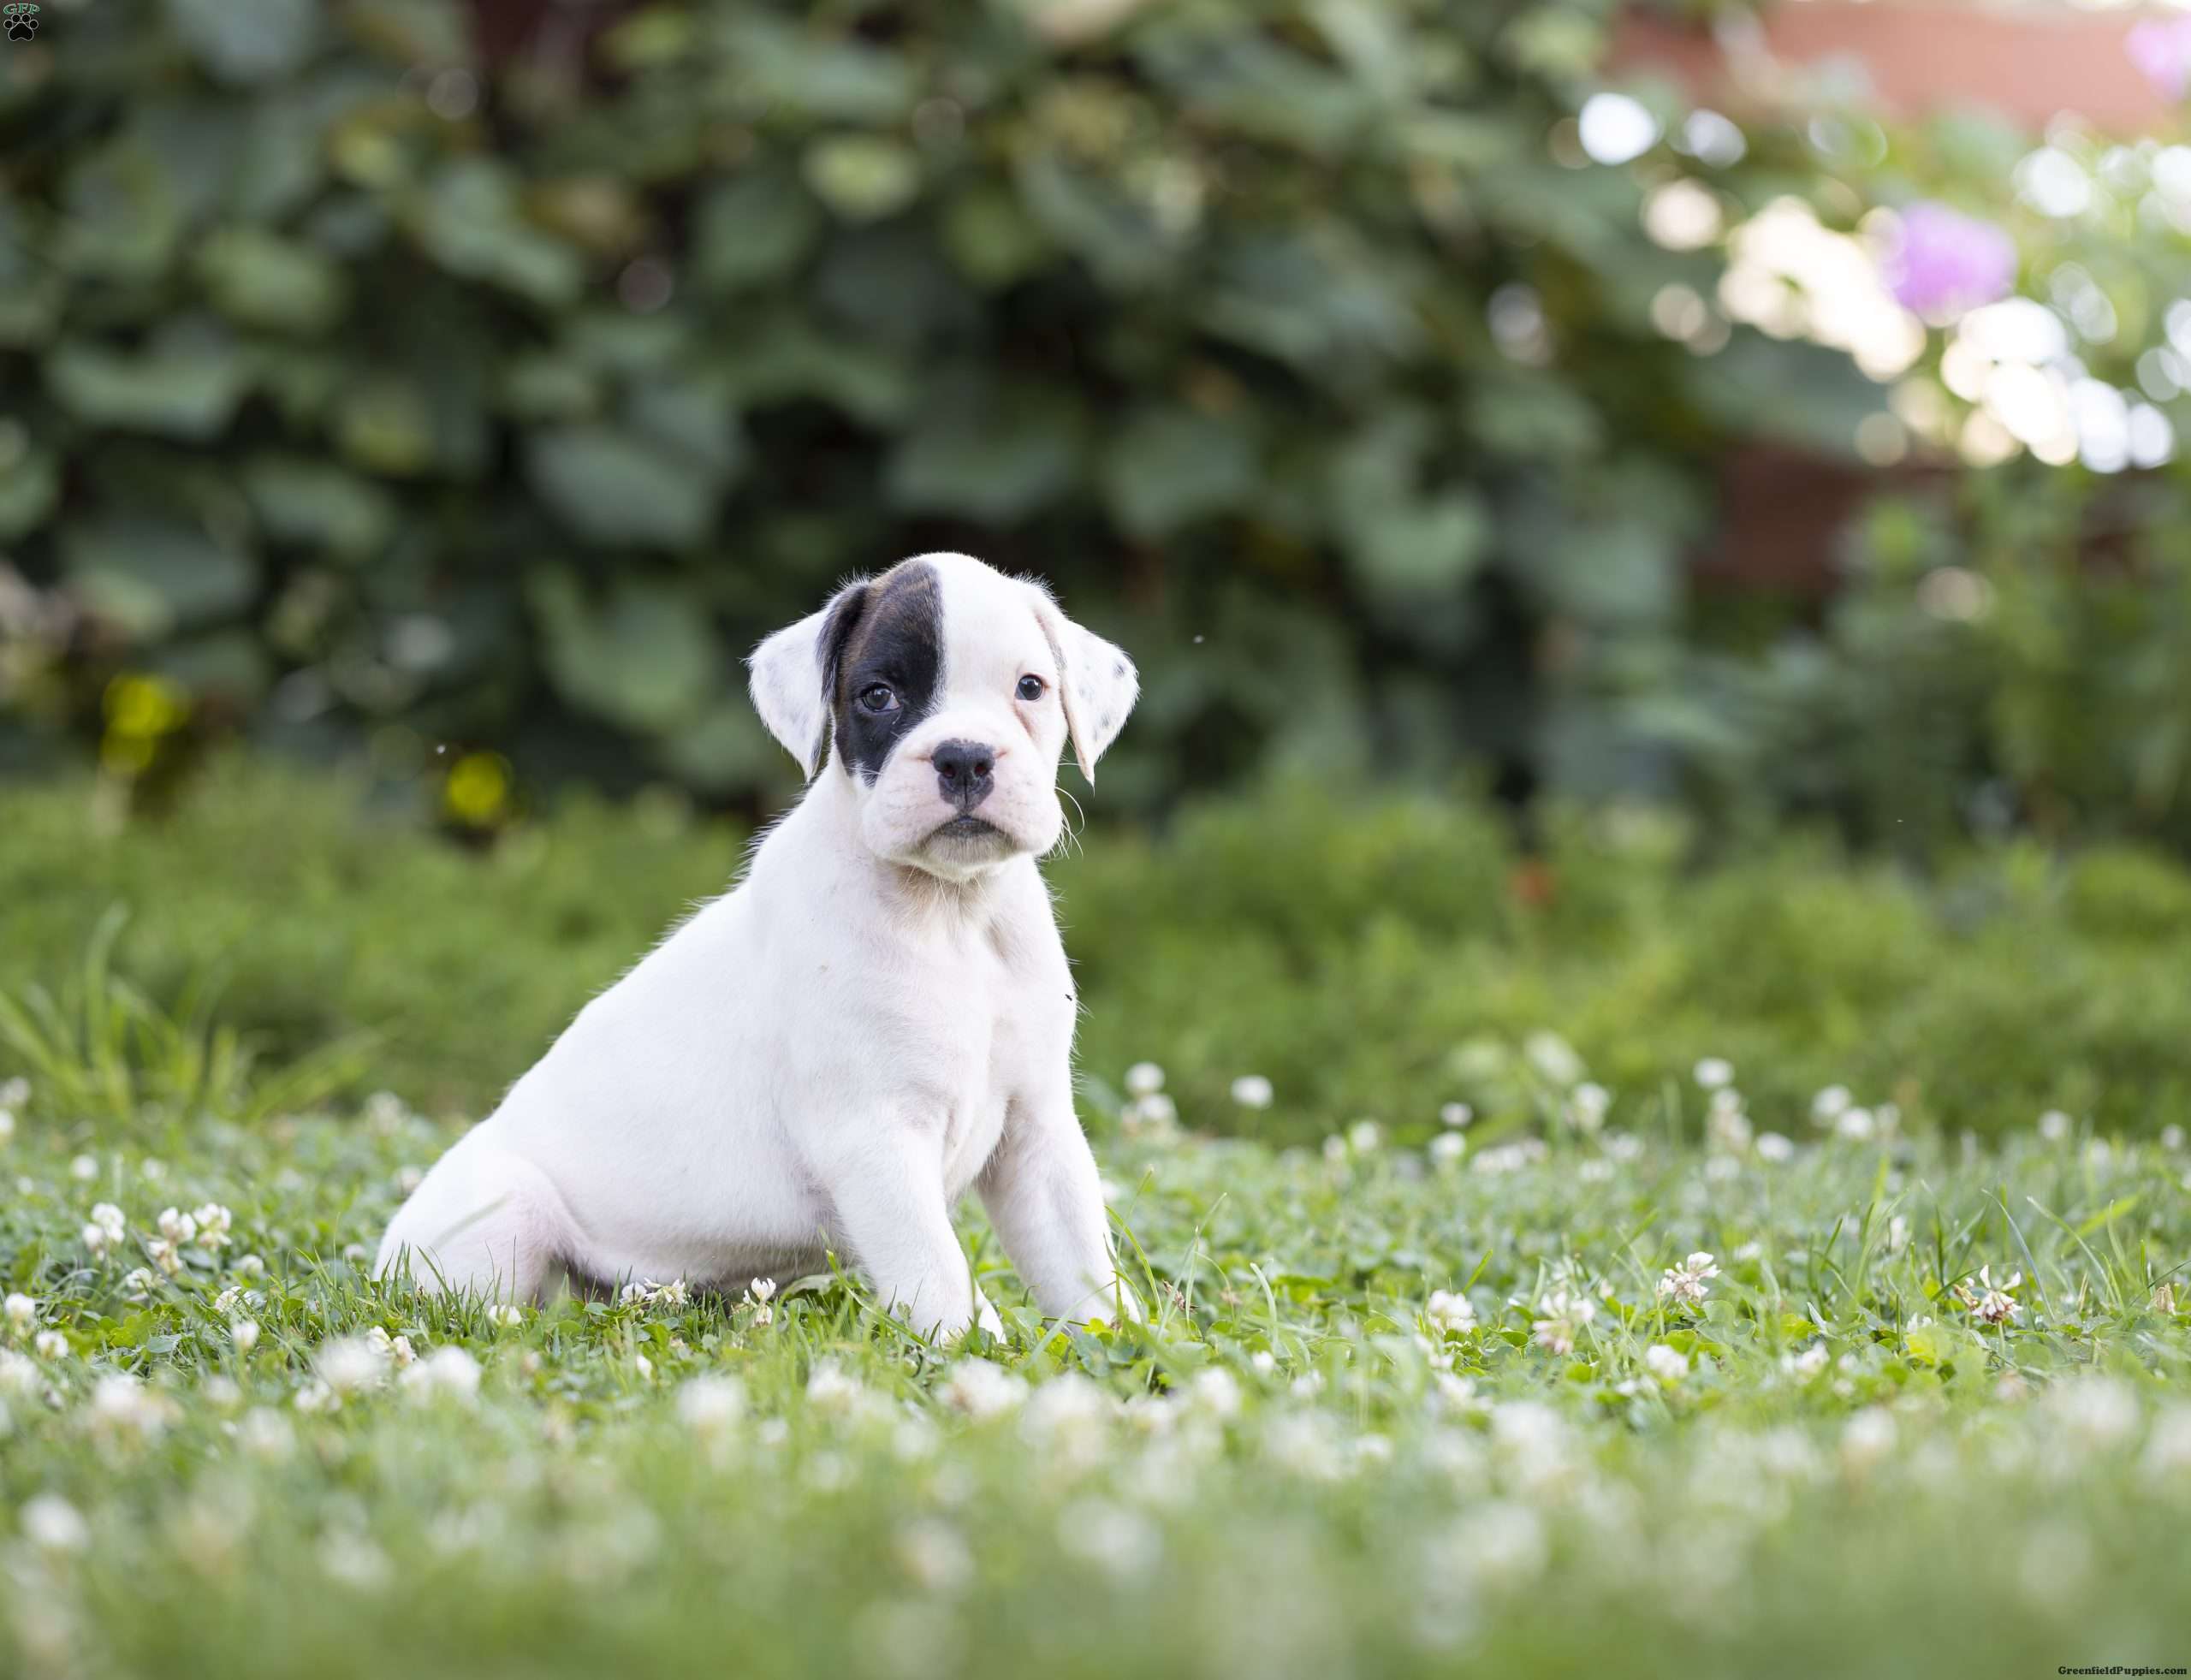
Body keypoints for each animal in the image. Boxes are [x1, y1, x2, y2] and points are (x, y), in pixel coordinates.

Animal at [372, 551, 1148, 1340]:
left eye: (1031, 688)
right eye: (878, 696)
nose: (964, 757)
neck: (952, 912)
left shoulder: (1038, 1135)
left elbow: (1081, 1265)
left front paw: (1126, 1343)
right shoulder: (877, 1139)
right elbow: (936, 1271)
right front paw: (962, 1352)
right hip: (507, 1212)